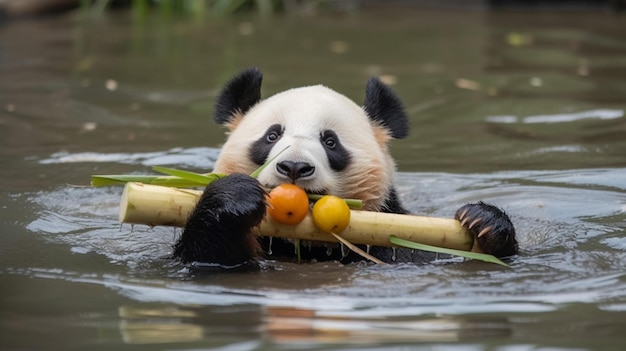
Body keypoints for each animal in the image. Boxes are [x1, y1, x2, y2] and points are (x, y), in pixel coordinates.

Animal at [172, 68, 516, 266]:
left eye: (330, 141)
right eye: (272, 135)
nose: (294, 166)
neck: (307, 244)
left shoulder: (398, 243)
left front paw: (483, 223)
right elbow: (203, 259)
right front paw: (236, 197)